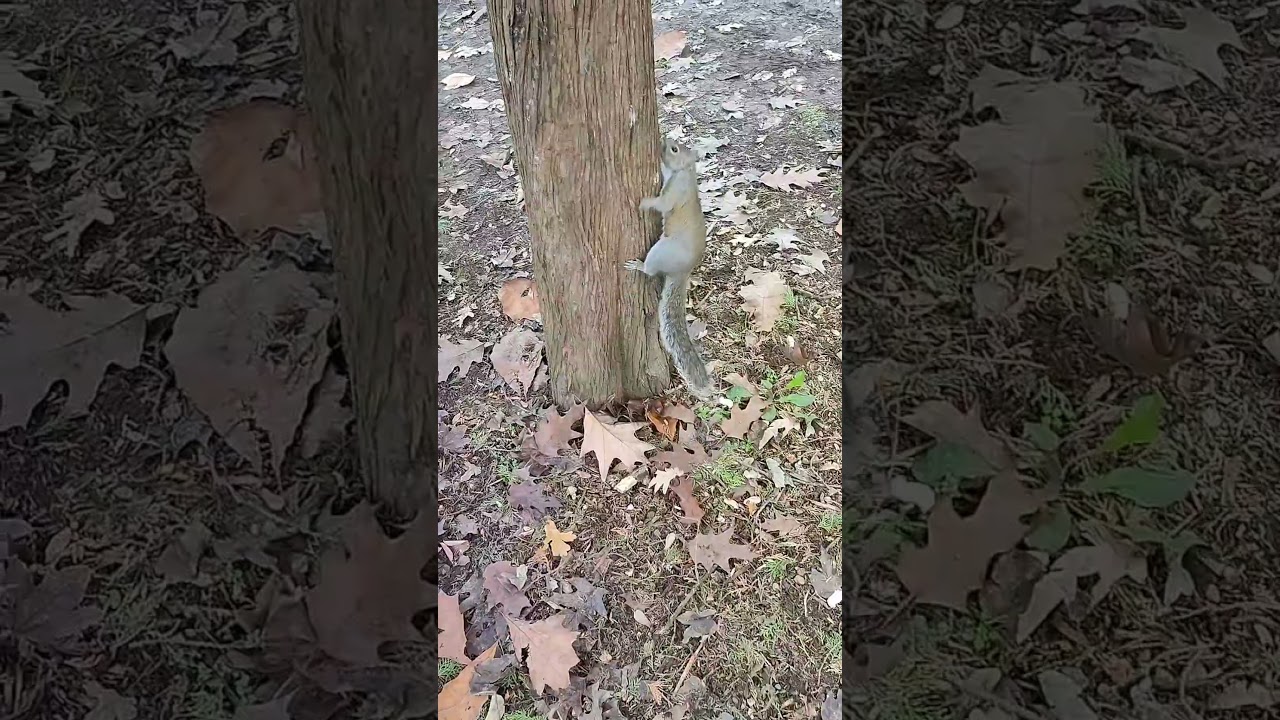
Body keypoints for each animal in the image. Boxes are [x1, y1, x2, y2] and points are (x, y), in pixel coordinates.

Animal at [624, 137, 717, 399]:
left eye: (675, 149)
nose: (663, 141)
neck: (686, 171)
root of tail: (683, 271)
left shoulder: (675, 192)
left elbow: (661, 204)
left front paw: (644, 203)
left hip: (660, 250)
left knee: (650, 270)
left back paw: (639, 265)